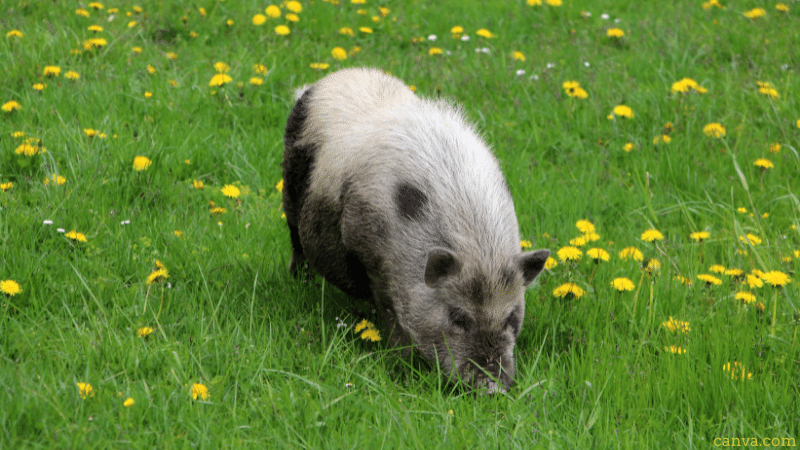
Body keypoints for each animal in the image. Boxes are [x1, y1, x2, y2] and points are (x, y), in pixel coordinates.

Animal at [282, 67, 552, 394]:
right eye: (458, 316)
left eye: (511, 317)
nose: (492, 387)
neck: (478, 248)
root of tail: (334, 76)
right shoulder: (368, 249)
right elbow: (389, 309)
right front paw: (400, 361)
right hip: (290, 183)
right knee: (295, 236)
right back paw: (299, 279)